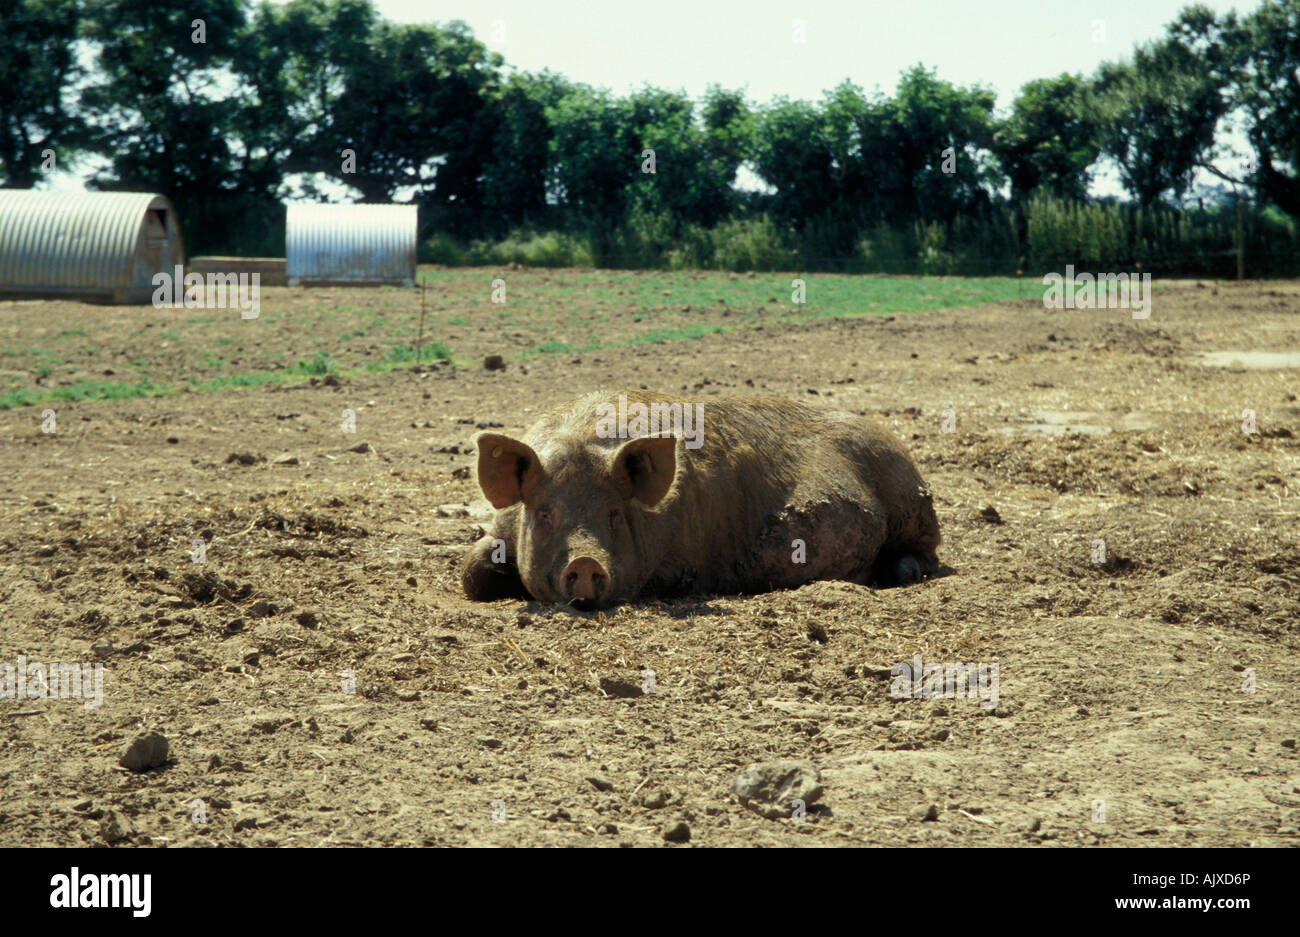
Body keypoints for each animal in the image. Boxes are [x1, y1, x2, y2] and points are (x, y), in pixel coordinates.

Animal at [460, 389, 941, 608]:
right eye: (545, 513)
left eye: (613, 513)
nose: (585, 561)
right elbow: (470, 573)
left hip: (912, 505)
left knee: (927, 553)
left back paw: (905, 574)